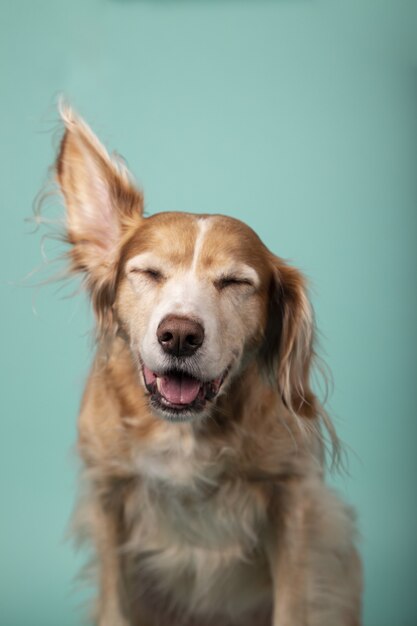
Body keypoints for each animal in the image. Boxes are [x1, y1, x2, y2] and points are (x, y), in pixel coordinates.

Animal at [49, 105, 360, 620]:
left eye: (235, 282)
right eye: (148, 273)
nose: (179, 335)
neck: (184, 433)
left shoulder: (294, 501)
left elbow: (294, 604)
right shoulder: (108, 496)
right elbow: (115, 604)